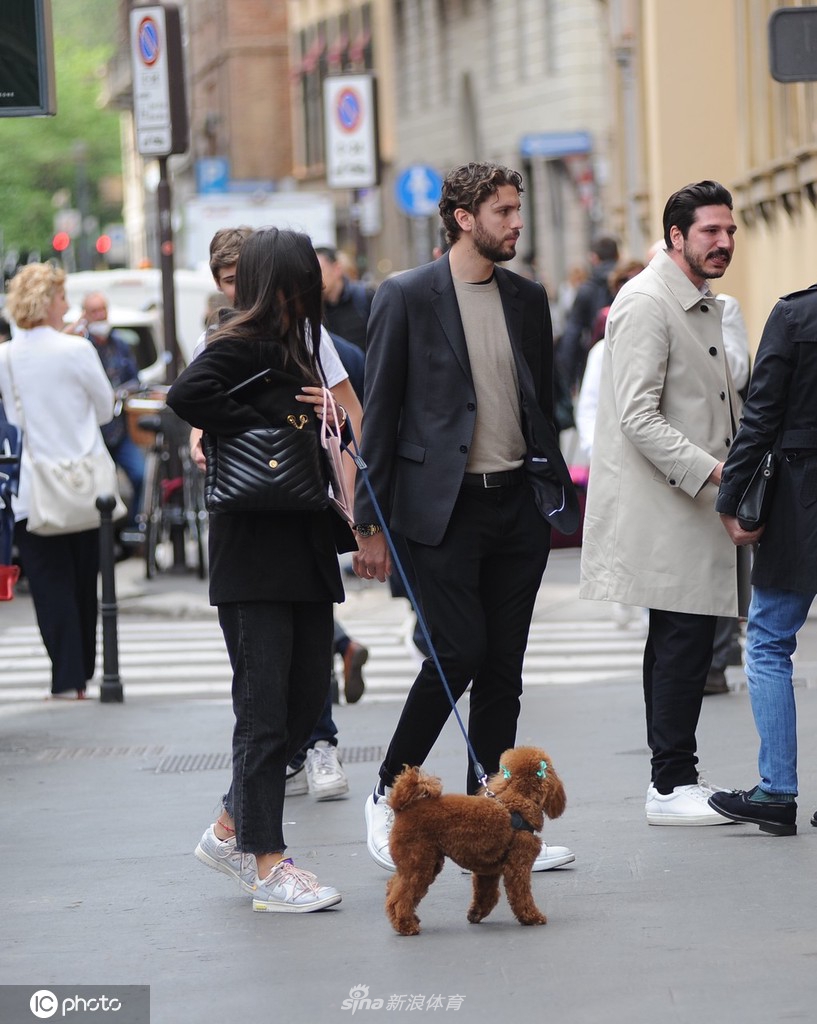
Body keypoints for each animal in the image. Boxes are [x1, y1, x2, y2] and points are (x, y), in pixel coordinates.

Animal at [385, 746, 566, 936]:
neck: (519, 799)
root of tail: (401, 808)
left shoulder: (487, 870)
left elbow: (486, 895)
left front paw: (475, 914)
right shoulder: (518, 866)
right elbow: (521, 895)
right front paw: (532, 917)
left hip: (423, 862)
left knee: (393, 889)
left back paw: (407, 919)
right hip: (419, 863)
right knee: (401, 897)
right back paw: (406, 925)